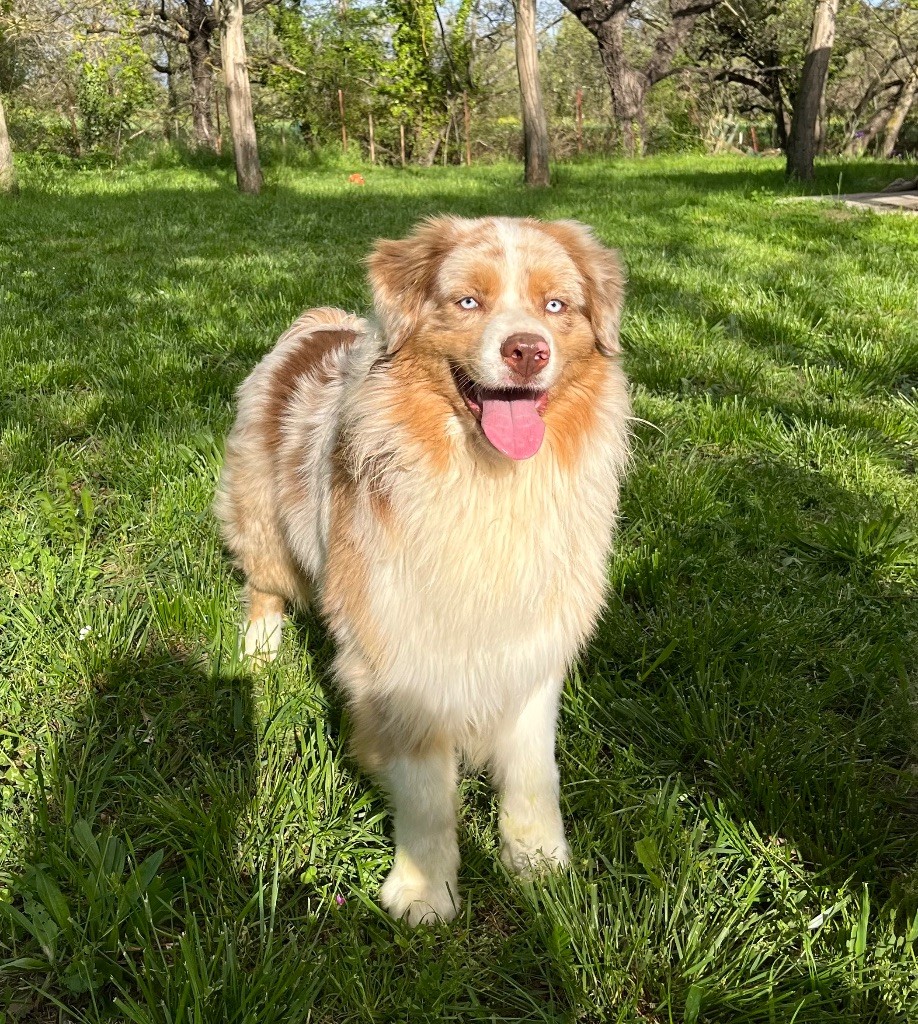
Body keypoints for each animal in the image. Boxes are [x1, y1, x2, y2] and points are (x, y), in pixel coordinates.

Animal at [215, 218, 631, 929]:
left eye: (556, 306)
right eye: (467, 301)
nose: (528, 350)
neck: (488, 485)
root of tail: (318, 323)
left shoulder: (533, 644)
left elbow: (533, 771)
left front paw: (539, 862)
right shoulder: (399, 652)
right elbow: (427, 792)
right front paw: (422, 892)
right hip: (261, 517)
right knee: (264, 584)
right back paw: (262, 649)